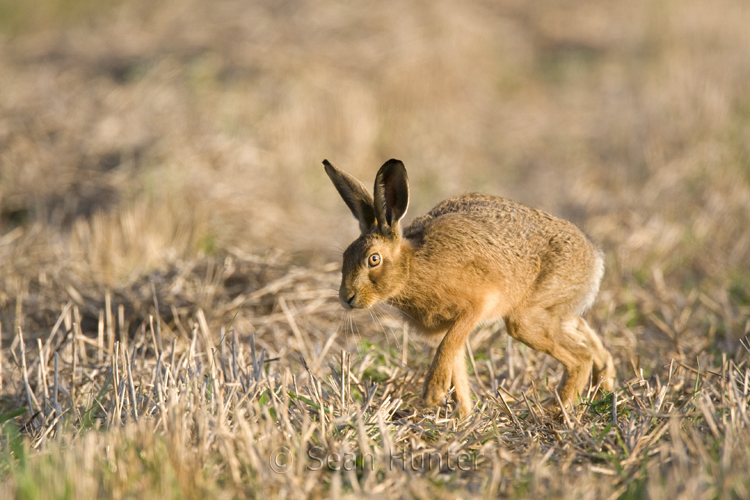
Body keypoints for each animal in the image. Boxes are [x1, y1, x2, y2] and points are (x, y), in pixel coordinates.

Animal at [323, 158, 615, 414]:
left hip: (526, 319)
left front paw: (433, 393)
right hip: (549, 312)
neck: (411, 267)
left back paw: (558, 410)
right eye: (345, 256)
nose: (346, 298)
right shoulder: (448, 327)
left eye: (374, 259)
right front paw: (463, 416)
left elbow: (448, 348)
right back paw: (604, 385)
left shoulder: (475, 307)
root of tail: (595, 257)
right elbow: (456, 364)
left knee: (580, 357)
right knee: (584, 335)